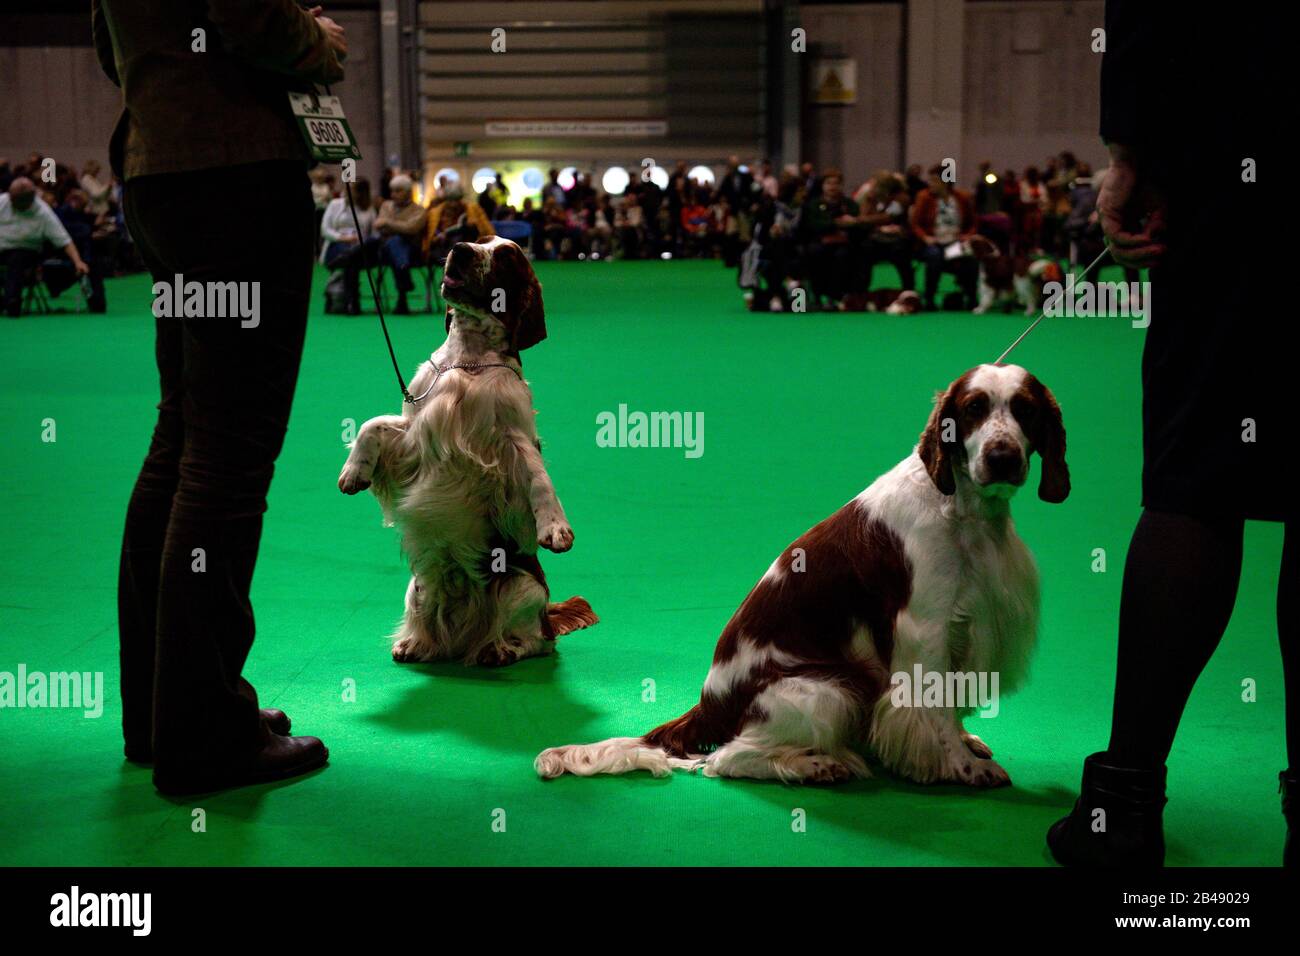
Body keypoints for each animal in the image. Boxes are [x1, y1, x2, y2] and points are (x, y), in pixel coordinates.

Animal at [340, 234, 595, 665]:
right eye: (479, 240)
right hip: (417, 588)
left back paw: (499, 649)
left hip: (524, 588)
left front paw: (555, 529)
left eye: (506, 255)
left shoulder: (514, 438)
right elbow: (374, 424)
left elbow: (539, 479)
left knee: (537, 639)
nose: (459, 248)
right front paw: (354, 471)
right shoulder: (415, 431)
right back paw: (415, 644)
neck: (468, 359)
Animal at [538, 364, 1066, 785]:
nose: (1002, 458)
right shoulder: (925, 629)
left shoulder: (966, 624)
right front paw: (962, 767)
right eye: (974, 408)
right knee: (726, 760)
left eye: (1026, 410)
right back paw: (819, 765)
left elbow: (950, 705)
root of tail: (709, 705)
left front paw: (966, 743)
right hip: (830, 690)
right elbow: (933, 711)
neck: (965, 511)